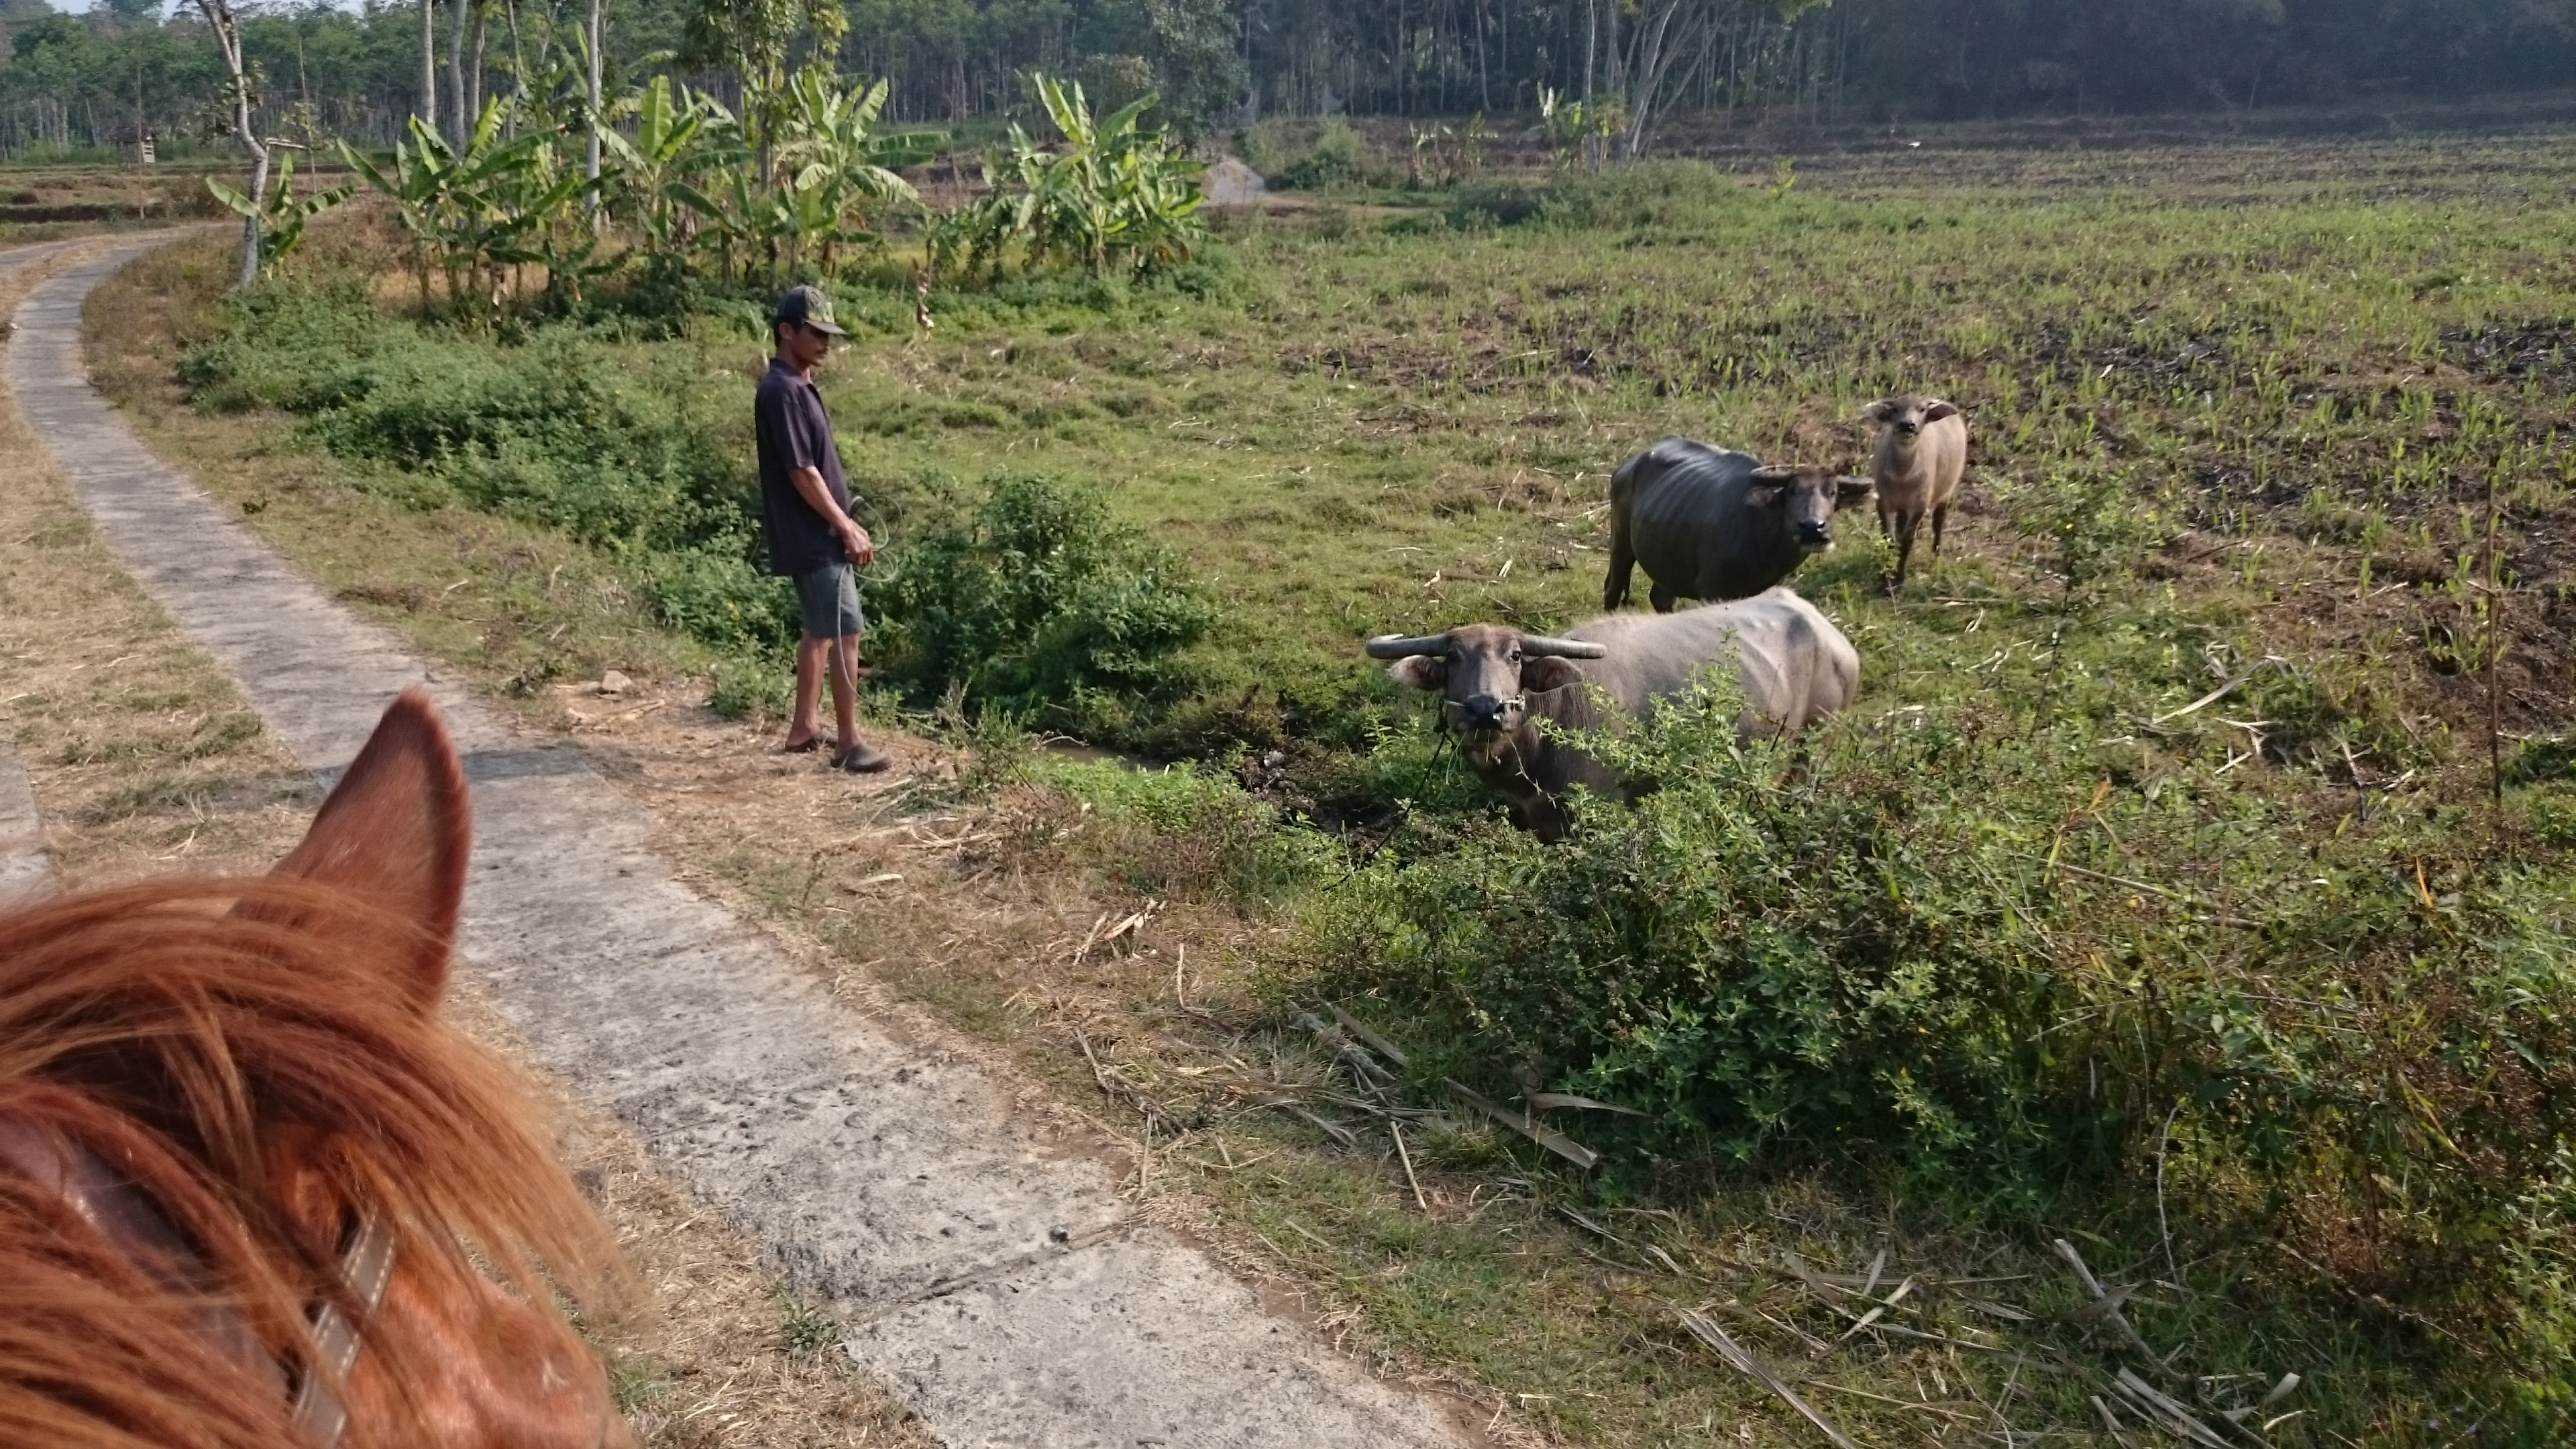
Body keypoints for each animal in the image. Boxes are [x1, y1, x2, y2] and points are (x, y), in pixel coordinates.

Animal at [1597, 430, 1885, 606]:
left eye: (1833, 493)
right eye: (1791, 491)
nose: (1812, 527)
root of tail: (1628, 466)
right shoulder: (1711, 590)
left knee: (1661, 597)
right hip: (1621, 543)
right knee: (1612, 591)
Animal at [1875, 392, 1968, 590]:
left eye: (1922, 409)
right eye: (1895, 408)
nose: (1907, 425)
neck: (1901, 476)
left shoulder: (1919, 504)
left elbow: (1907, 541)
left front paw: (1899, 579)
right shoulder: (1881, 501)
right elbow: (1888, 538)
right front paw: (1885, 573)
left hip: (1945, 492)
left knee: (1939, 521)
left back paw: (1936, 552)